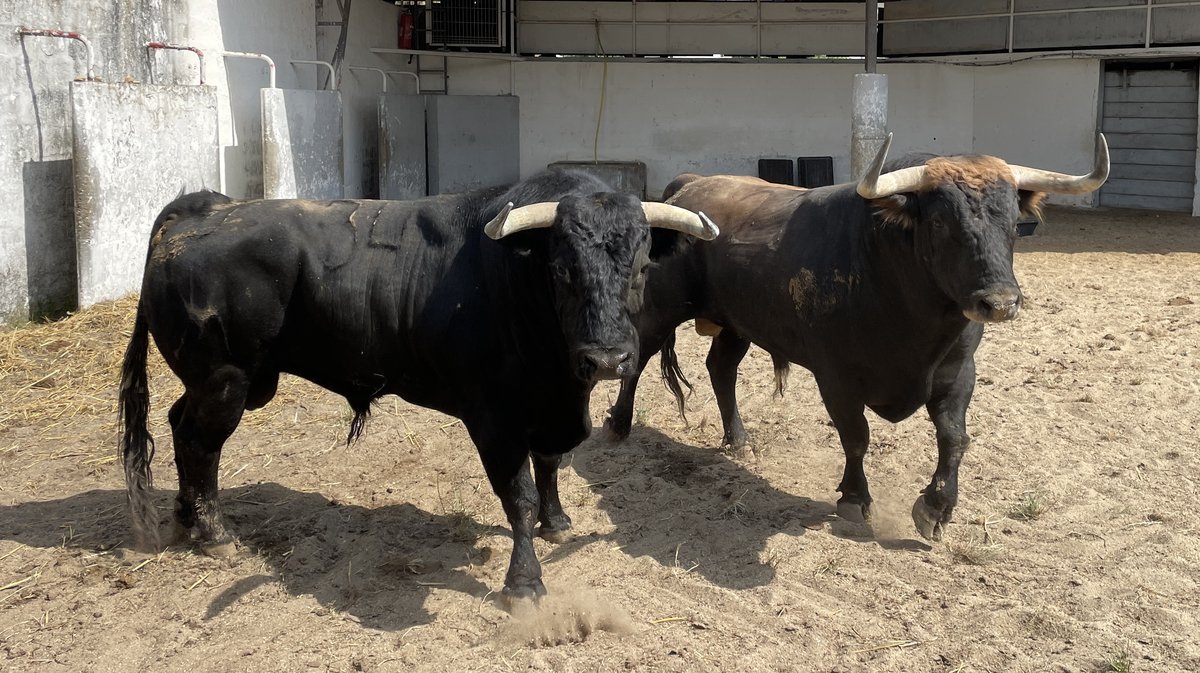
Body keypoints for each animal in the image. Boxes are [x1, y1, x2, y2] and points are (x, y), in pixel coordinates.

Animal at [117, 167, 715, 597]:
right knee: (199, 443)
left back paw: (186, 519)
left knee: (179, 426)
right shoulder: (494, 418)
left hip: (212, 383)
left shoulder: (551, 408)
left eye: (641, 267)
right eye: (562, 269)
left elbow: (548, 469)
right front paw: (524, 580)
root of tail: (205, 207)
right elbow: (517, 496)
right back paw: (215, 535)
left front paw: (558, 520)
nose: (608, 359)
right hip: (227, 380)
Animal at [604, 133, 1108, 537]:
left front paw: (936, 509)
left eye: (1013, 224)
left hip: (737, 322)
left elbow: (954, 438)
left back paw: (739, 440)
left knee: (721, 368)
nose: (1000, 302)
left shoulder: (958, 372)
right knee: (639, 360)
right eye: (941, 222)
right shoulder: (837, 377)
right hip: (661, 310)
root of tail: (690, 185)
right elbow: (856, 436)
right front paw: (853, 498)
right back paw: (618, 426)